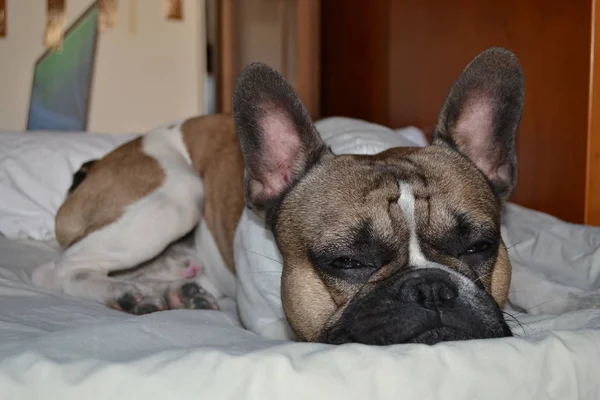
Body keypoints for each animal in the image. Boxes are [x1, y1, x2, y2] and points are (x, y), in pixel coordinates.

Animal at [32, 47, 524, 346]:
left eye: (480, 247)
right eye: (348, 262)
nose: (432, 288)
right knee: (57, 271)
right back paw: (129, 293)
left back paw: (175, 285)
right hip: (176, 196)